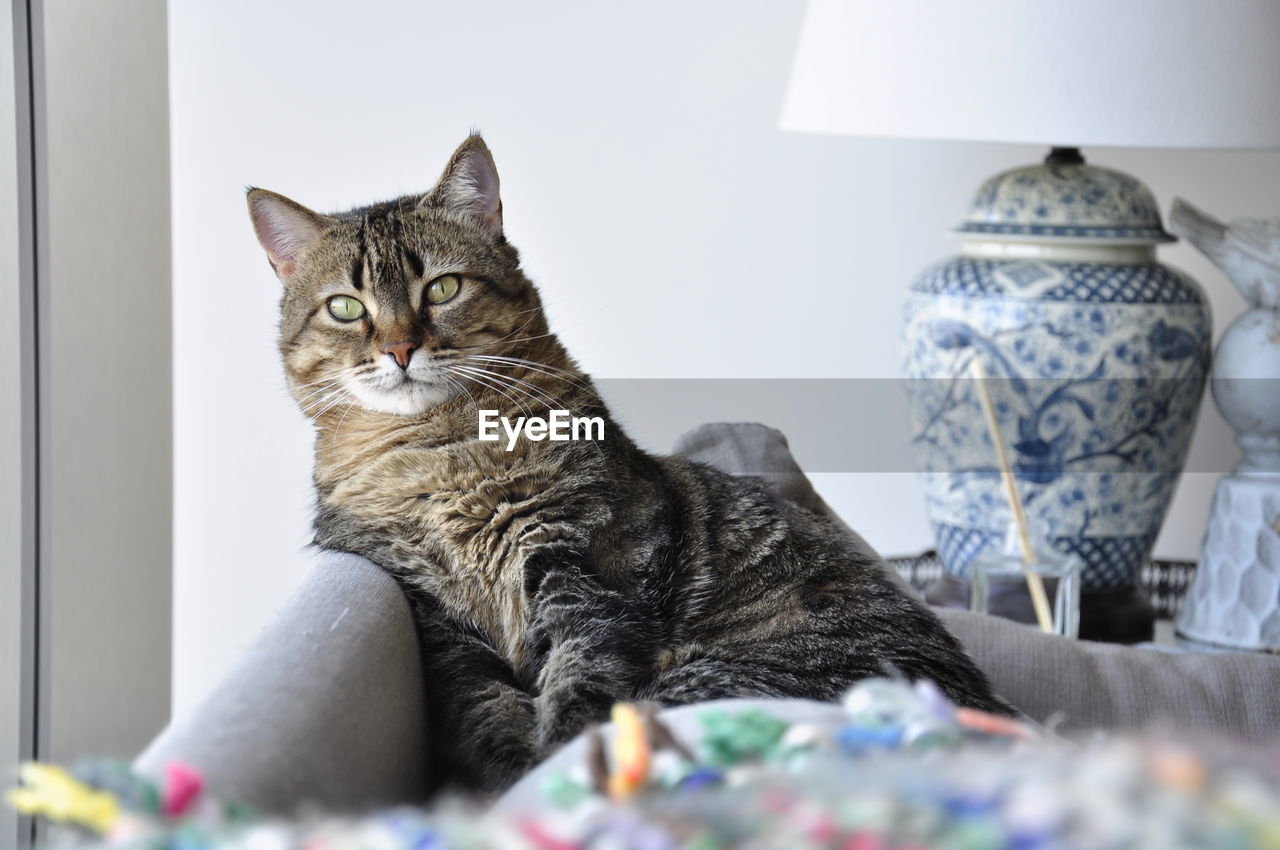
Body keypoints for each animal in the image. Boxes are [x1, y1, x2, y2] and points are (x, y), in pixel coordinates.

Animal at [247, 136, 1008, 793]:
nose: (401, 349)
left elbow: (580, 688)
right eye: (346, 307)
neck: (441, 454)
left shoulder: (588, 571)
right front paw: (514, 773)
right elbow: (485, 709)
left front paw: (552, 768)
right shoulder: (435, 619)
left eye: (441, 289)